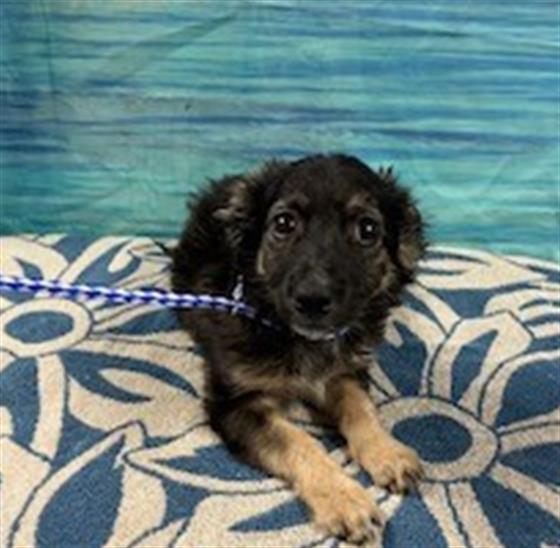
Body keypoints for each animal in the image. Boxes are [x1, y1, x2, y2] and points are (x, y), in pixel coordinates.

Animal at [171, 154, 426, 543]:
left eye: (368, 230)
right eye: (284, 223)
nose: (312, 299)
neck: (300, 338)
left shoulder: (343, 372)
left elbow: (361, 409)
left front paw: (387, 452)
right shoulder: (235, 404)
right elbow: (298, 440)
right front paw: (344, 499)